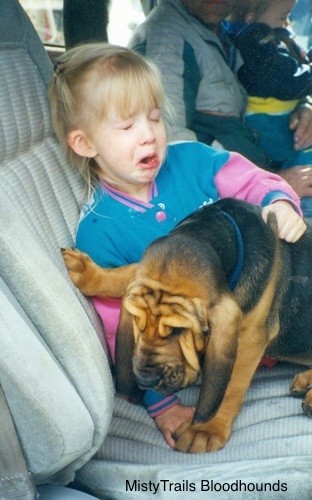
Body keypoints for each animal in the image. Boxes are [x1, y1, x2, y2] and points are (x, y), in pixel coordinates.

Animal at [62, 198, 310, 454]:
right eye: (137, 324)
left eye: (178, 331)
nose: (145, 382)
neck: (222, 234)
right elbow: (128, 271)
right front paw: (90, 274)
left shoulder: (250, 338)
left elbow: (229, 385)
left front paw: (206, 429)